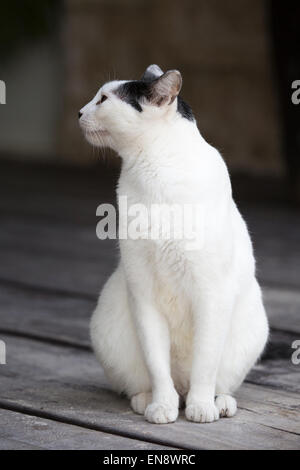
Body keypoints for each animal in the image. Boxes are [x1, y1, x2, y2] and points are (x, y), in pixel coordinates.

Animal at [78, 64, 268, 424]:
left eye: (104, 99)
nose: (79, 112)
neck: (156, 171)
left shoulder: (211, 294)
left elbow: (205, 364)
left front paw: (201, 407)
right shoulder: (143, 294)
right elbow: (157, 364)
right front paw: (162, 406)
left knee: (216, 380)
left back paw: (218, 402)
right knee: (149, 381)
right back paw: (148, 399)